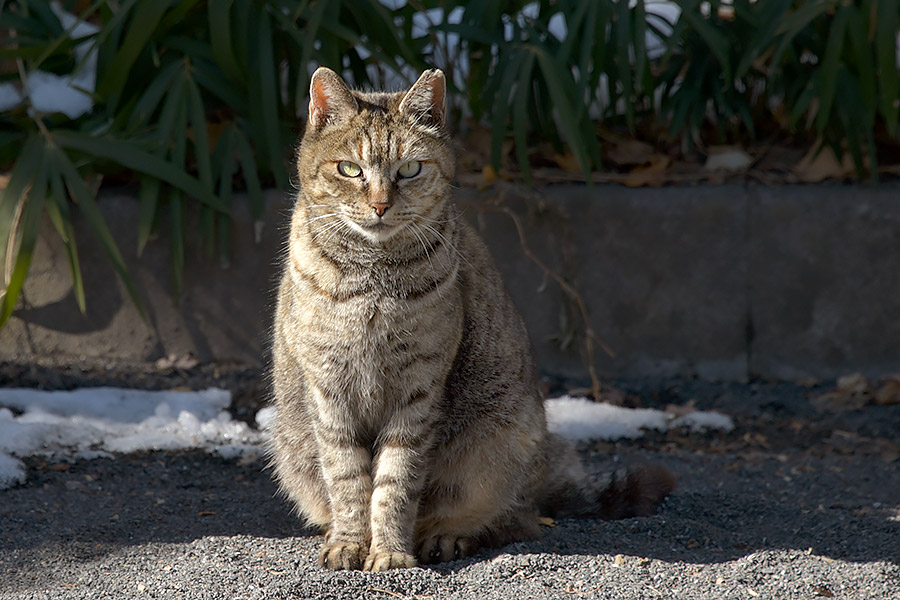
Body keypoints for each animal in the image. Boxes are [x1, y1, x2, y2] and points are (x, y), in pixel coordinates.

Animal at [268, 65, 676, 572]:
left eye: (409, 169)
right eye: (349, 169)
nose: (380, 204)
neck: (372, 276)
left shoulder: (420, 387)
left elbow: (395, 482)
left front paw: (390, 551)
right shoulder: (329, 386)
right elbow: (347, 478)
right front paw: (350, 542)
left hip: (502, 446)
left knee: (513, 518)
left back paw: (448, 536)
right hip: (290, 445)